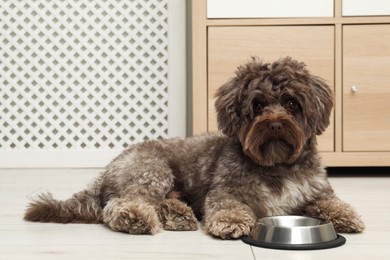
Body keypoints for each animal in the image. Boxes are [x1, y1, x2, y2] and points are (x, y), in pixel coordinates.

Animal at [25, 57, 366, 240]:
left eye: (292, 103)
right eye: (257, 105)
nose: (274, 124)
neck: (277, 164)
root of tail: (108, 168)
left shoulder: (316, 192)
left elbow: (332, 202)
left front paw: (347, 217)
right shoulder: (226, 192)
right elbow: (229, 207)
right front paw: (232, 223)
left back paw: (178, 215)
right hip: (152, 171)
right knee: (120, 205)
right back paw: (138, 218)